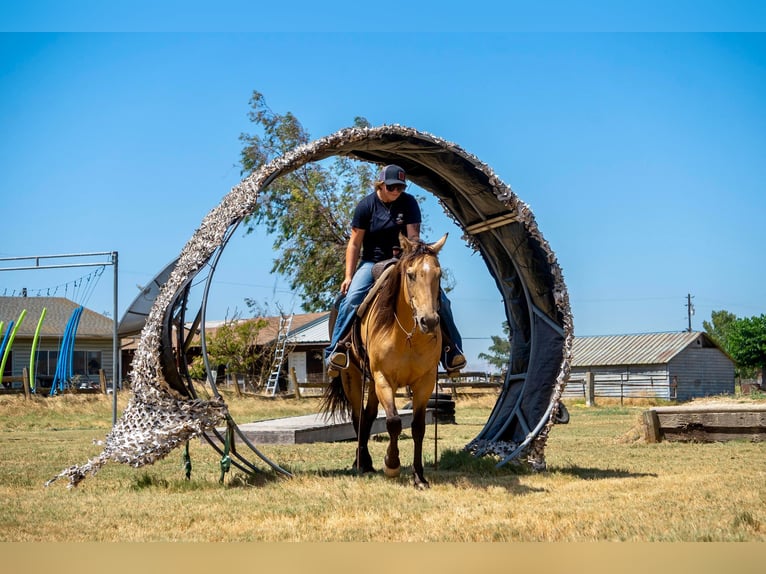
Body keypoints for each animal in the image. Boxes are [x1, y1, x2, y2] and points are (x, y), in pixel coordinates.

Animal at [323, 233, 447, 489]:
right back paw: (362, 462)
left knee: (368, 416)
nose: (429, 321)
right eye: (410, 274)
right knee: (358, 417)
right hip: (352, 377)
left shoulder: (425, 381)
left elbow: (418, 427)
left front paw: (419, 477)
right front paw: (391, 465)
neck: (407, 335)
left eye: (438, 275)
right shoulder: (383, 378)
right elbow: (393, 422)